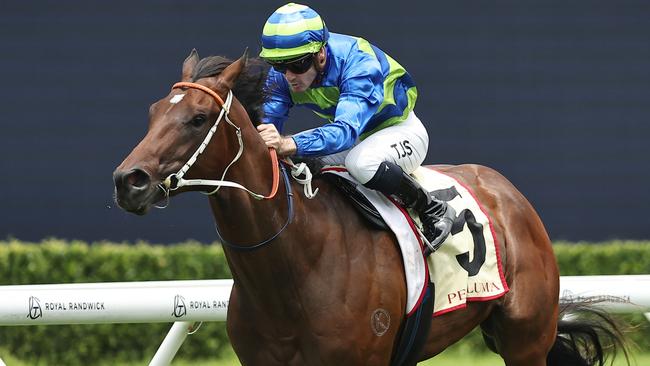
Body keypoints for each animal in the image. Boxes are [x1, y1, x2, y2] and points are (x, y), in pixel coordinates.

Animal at [112, 49, 628, 366]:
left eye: (197, 118)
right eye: (154, 112)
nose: (128, 181)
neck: (292, 268)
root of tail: (508, 191)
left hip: (525, 337)